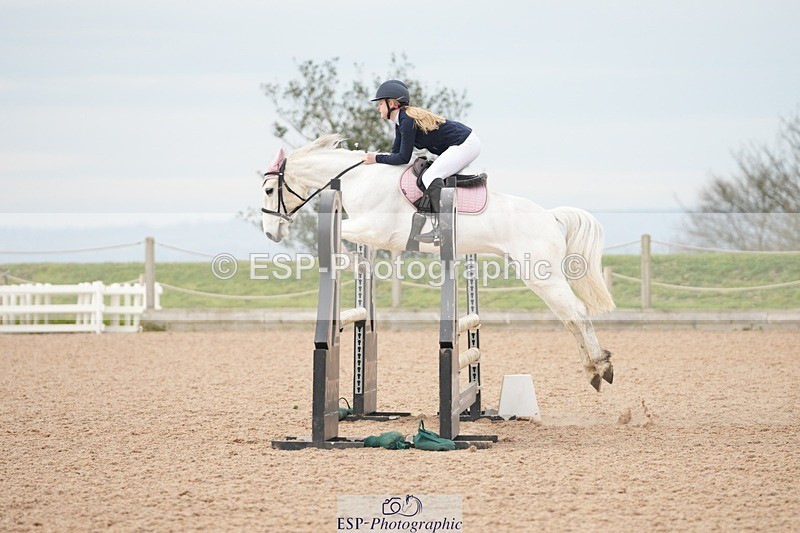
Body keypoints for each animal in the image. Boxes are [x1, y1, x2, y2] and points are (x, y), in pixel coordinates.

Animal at [260, 134, 615, 390]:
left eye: (268, 190)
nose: (270, 233)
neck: (361, 177)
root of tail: (551, 217)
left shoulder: (375, 228)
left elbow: (339, 234)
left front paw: (351, 261)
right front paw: (358, 264)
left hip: (543, 275)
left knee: (578, 313)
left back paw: (602, 365)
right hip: (535, 276)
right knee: (569, 318)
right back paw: (591, 371)